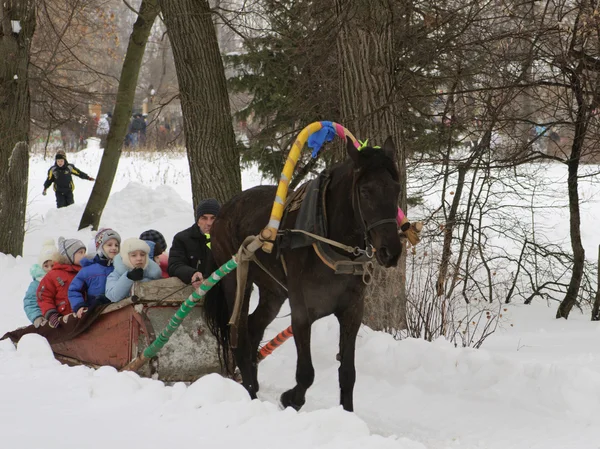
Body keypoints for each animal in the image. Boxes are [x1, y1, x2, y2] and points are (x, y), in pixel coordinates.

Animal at [203, 136, 404, 410]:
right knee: (239, 336)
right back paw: (250, 392)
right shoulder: (301, 310)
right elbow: (306, 373)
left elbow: (348, 373)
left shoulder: (352, 310)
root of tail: (225, 210)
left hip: (274, 291)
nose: (391, 251)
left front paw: (347, 412)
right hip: (235, 279)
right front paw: (290, 399)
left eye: (396, 189)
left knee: (254, 328)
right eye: (365, 191)